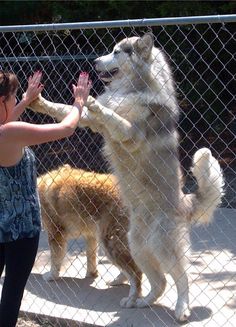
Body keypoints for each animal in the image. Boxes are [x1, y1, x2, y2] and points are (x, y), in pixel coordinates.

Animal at [28, 32, 224, 320]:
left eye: (117, 52)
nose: (95, 61)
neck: (132, 89)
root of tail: (183, 201)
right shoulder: (89, 122)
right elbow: (63, 109)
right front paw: (38, 101)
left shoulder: (129, 133)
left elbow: (112, 116)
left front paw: (93, 102)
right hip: (136, 245)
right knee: (158, 281)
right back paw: (142, 301)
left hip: (161, 247)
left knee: (182, 278)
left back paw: (182, 308)